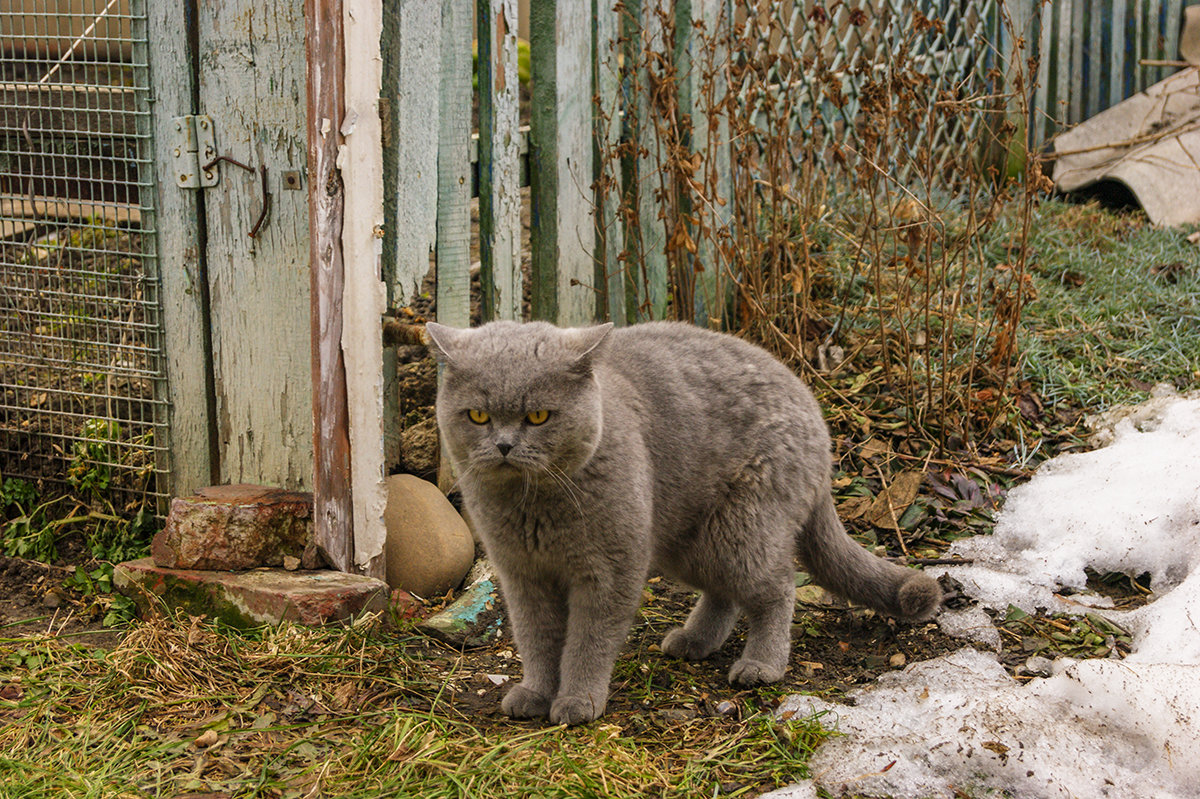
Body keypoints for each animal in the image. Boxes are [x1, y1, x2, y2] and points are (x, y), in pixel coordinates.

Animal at [427, 316, 940, 719]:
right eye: (477, 416)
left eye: (538, 416)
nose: (504, 445)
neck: (530, 507)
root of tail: (816, 413)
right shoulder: (521, 573)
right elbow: (537, 639)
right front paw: (535, 694)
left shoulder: (609, 568)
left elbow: (589, 640)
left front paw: (577, 702)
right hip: (688, 539)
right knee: (725, 593)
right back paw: (694, 641)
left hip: (743, 524)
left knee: (776, 587)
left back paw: (761, 666)